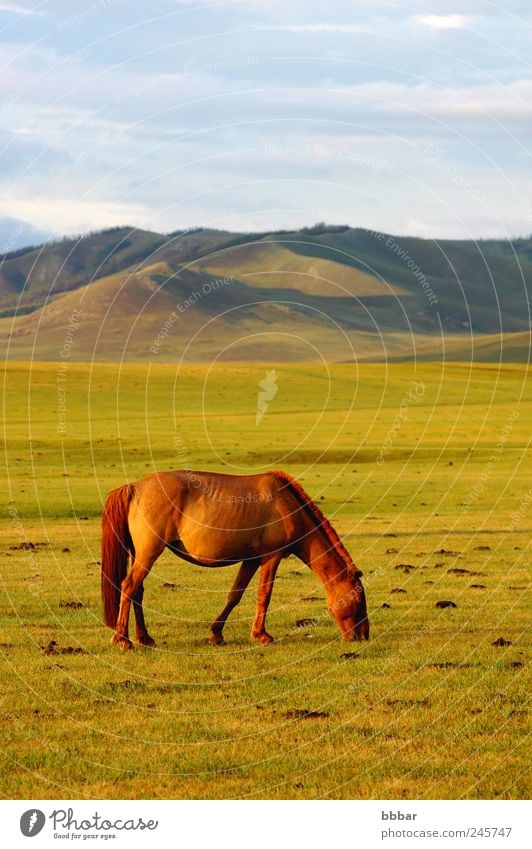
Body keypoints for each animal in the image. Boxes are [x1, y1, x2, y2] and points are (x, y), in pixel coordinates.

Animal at [103, 470, 370, 648]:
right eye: (358, 599)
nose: (362, 636)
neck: (286, 504)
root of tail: (133, 487)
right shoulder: (271, 557)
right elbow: (264, 595)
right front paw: (261, 635)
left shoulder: (251, 560)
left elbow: (235, 595)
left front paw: (216, 633)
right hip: (149, 554)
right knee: (129, 586)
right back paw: (123, 639)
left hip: (140, 555)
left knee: (137, 591)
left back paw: (144, 637)